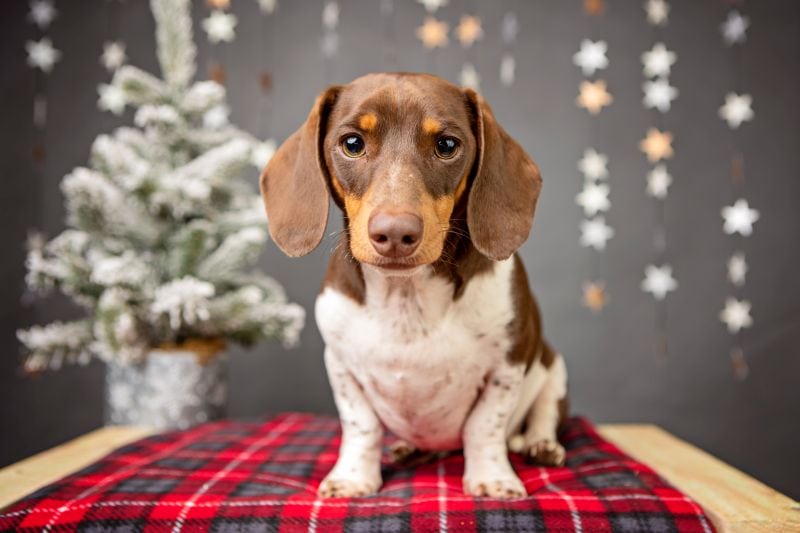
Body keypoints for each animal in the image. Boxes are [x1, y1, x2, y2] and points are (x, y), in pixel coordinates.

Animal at [260, 72, 564, 496]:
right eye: (352, 143)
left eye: (447, 145)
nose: (394, 234)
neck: (405, 297)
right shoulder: (340, 364)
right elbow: (361, 426)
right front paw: (353, 477)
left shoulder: (509, 363)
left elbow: (484, 426)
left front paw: (492, 478)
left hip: (554, 368)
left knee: (545, 414)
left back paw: (541, 444)